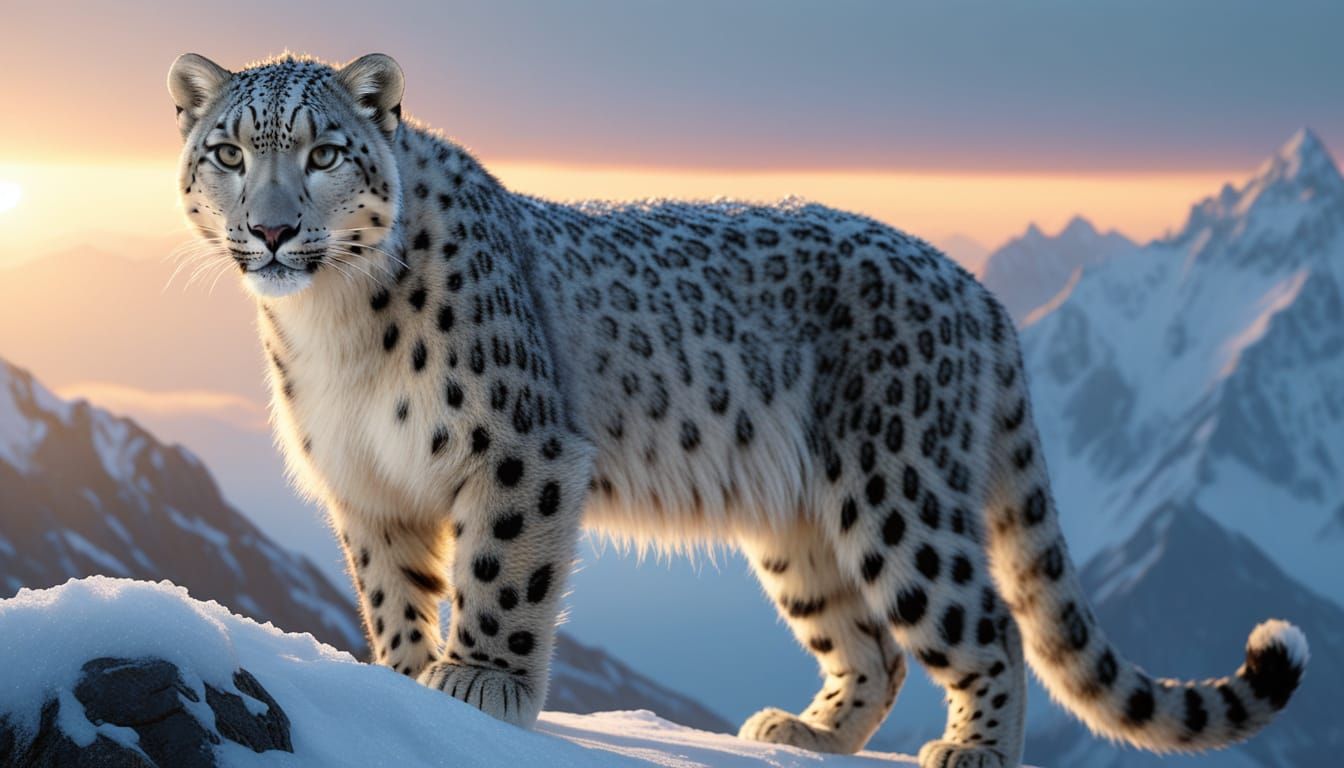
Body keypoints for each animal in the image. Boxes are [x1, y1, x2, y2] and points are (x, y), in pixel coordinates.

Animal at [168, 52, 1307, 767]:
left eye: (323, 152)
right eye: (229, 153)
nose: (272, 230)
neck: (332, 327)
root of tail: (977, 291)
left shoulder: (518, 449)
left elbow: (499, 575)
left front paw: (481, 682)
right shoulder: (368, 486)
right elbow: (392, 595)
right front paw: (406, 679)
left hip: (898, 491)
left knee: (983, 621)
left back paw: (974, 750)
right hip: (801, 527)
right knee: (873, 645)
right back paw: (805, 733)